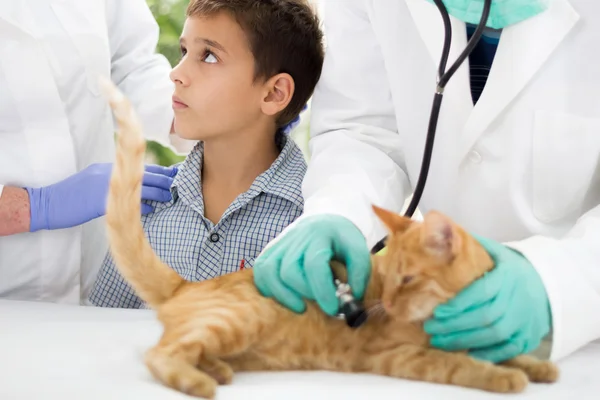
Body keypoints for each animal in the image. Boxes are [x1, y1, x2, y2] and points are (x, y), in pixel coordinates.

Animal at [99, 76, 556, 398]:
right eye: (390, 281)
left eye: (407, 279)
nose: (386, 305)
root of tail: (185, 285)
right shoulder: (400, 356)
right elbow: (464, 366)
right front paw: (504, 377)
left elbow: (509, 350)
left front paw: (538, 366)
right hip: (236, 320)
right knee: (160, 354)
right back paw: (200, 382)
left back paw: (215, 369)